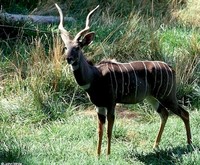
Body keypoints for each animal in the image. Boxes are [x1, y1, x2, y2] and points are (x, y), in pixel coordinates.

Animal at [55, 4, 192, 156]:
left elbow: (109, 130)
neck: (95, 76)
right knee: (165, 114)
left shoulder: (111, 103)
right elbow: (100, 131)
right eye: (65, 47)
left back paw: (189, 144)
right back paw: (155, 146)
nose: (68, 58)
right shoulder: (99, 106)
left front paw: (108, 154)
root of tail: (170, 68)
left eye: (77, 47)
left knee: (184, 113)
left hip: (167, 96)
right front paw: (97, 155)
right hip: (151, 97)